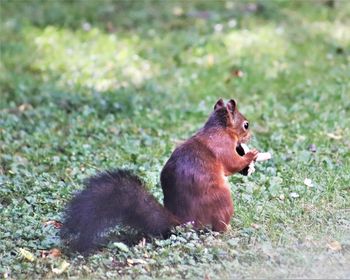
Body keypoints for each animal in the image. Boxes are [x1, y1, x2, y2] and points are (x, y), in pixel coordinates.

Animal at [59, 99, 258, 254]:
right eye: (246, 125)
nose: (250, 135)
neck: (219, 129)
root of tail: (184, 221)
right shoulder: (223, 147)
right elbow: (233, 163)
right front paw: (251, 155)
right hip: (223, 201)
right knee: (218, 227)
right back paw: (229, 229)